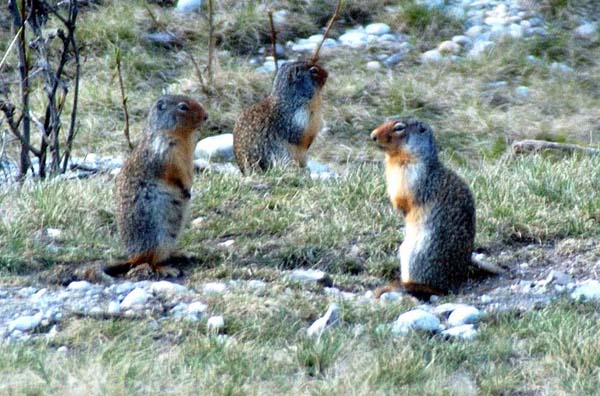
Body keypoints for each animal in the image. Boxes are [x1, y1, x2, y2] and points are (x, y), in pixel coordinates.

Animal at [108, 94, 209, 276]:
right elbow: (176, 173)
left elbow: (189, 171)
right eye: (182, 107)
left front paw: (190, 188)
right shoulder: (166, 153)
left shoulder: (187, 158)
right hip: (156, 236)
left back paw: (182, 253)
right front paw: (186, 189)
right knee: (149, 261)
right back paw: (167, 269)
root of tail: (132, 257)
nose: (206, 116)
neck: (182, 137)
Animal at [370, 117, 502, 296]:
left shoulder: (412, 177)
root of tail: (452, 281)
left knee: (430, 287)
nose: (372, 136)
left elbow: (404, 200)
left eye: (399, 128)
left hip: (416, 253)